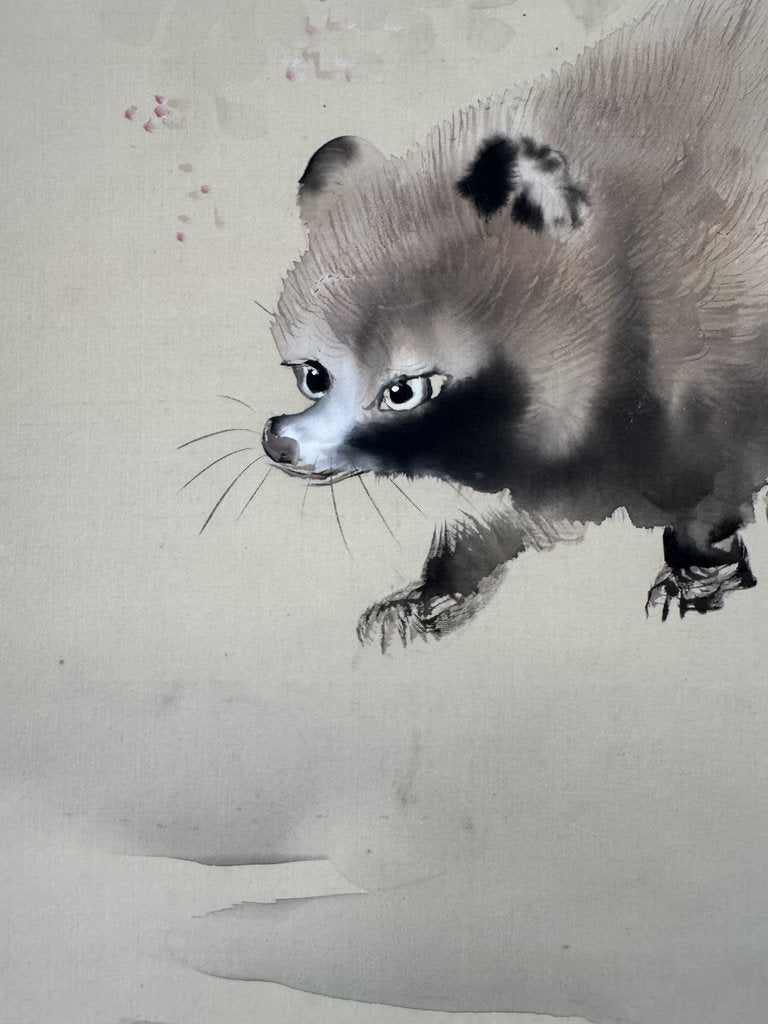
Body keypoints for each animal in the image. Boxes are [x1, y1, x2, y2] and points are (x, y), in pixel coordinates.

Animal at [262, 0, 768, 647]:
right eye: (313, 376)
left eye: (404, 392)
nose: (280, 442)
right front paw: (442, 584)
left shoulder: (713, 362)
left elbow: (709, 491)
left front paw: (700, 567)